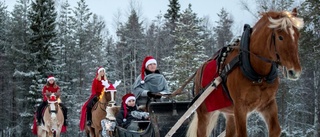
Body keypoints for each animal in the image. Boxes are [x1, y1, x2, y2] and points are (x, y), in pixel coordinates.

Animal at [186, 8, 304, 137]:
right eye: (280, 37)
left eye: (297, 35)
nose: (295, 72)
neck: (258, 73)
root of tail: (198, 71)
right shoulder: (240, 107)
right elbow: (242, 133)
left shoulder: (268, 104)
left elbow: (276, 130)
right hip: (204, 113)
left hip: (229, 113)